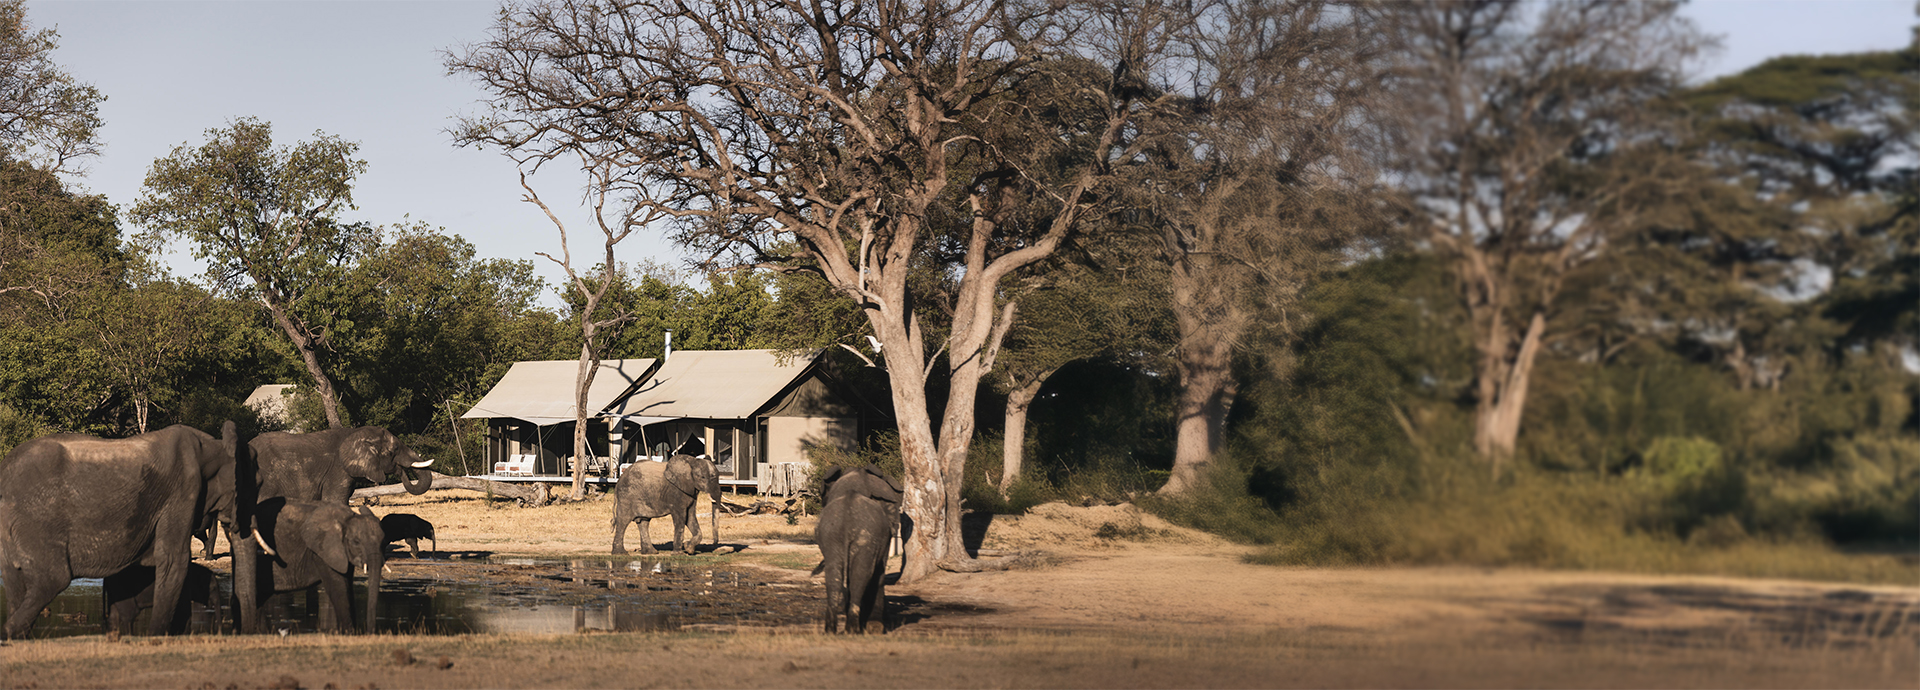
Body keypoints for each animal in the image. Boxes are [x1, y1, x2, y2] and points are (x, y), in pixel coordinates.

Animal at [242, 497, 386, 634]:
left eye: (383, 540)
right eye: (356, 542)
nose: (370, 632)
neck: (346, 519)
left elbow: (348, 584)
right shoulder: (321, 550)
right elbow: (338, 587)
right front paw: (349, 633)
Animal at [814, 464, 903, 634]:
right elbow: (878, 572)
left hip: (834, 534)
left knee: (835, 574)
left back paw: (833, 630)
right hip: (865, 533)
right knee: (862, 573)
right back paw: (856, 629)